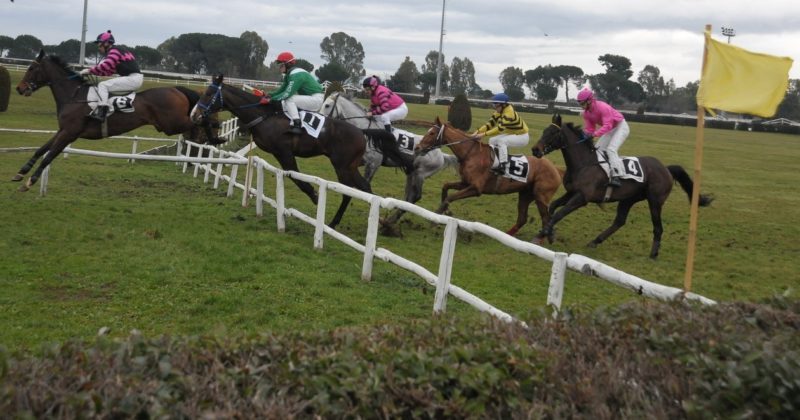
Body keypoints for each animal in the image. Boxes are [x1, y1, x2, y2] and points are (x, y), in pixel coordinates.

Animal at [14, 49, 220, 192]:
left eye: (32, 68)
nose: (19, 88)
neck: (74, 96)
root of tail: (177, 89)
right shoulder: (62, 131)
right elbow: (41, 149)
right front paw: (21, 172)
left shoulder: (69, 133)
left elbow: (49, 155)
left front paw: (29, 182)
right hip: (170, 125)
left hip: (172, 124)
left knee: (201, 121)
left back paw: (215, 138)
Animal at [191, 74, 400, 228]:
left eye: (208, 93)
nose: (194, 115)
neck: (264, 115)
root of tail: (361, 131)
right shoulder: (277, 152)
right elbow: (293, 176)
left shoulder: (284, 152)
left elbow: (296, 177)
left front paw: (315, 195)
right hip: (350, 166)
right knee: (364, 187)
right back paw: (374, 221)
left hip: (341, 166)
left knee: (348, 191)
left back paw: (334, 222)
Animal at [318, 92, 456, 230]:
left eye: (327, 105)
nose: (321, 120)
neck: (366, 132)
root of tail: (441, 154)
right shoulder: (356, 162)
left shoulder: (373, 164)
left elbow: (362, 189)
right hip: (411, 173)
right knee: (409, 196)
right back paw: (391, 220)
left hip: (420, 174)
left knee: (415, 196)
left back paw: (390, 221)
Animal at [412, 116, 564, 241]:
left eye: (432, 133)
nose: (417, 147)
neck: (471, 154)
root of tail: (556, 168)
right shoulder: (465, 183)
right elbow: (446, 186)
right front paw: (445, 211)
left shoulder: (476, 189)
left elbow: (450, 197)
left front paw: (436, 217)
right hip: (525, 194)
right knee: (522, 218)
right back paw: (507, 237)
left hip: (541, 196)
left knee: (546, 218)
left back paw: (542, 239)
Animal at [532, 113, 712, 258]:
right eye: (544, 131)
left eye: (553, 133)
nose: (535, 150)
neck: (584, 163)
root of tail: (666, 168)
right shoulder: (571, 192)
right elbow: (552, 207)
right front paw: (549, 233)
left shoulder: (582, 197)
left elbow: (560, 213)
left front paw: (543, 233)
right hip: (628, 199)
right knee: (619, 221)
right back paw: (595, 241)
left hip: (655, 201)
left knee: (658, 227)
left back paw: (653, 254)